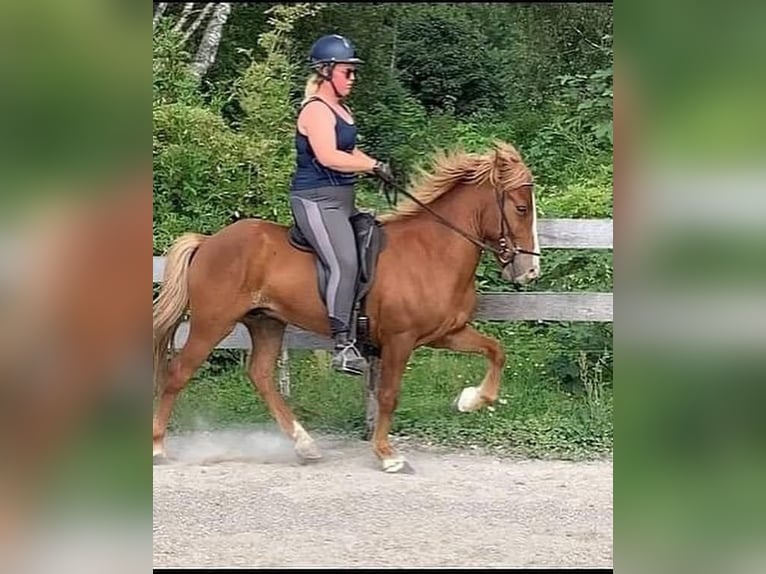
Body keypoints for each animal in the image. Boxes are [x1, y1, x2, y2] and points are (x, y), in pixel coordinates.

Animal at [152, 141, 541, 473]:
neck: (432, 251)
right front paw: (387, 454)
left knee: (260, 375)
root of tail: (208, 242)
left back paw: (305, 444)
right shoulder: (400, 340)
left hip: (266, 322)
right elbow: (388, 395)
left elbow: (496, 351)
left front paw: (471, 400)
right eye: (521, 208)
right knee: (178, 373)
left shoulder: (446, 333)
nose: (530, 270)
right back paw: (157, 446)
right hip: (212, 323)